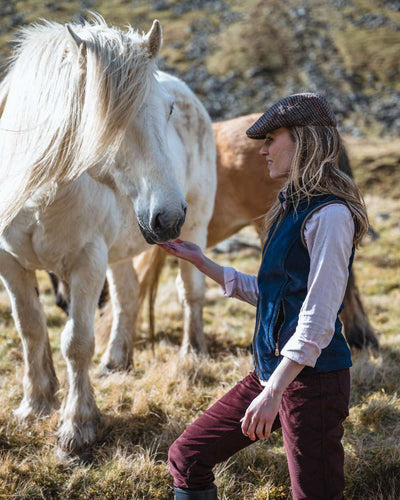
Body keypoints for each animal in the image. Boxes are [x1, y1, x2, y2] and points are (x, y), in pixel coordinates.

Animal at [0, 15, 216, 456]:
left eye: (168, 109)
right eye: (105, 120)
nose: (168, 216)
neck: (41, 193)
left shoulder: (87, 260)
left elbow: (76, 341)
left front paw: (77, 427)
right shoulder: (10, 263)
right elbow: (30, 328)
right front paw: (35, 404)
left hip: (196, 231)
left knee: (192, 294)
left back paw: (192, 355)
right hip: (120, 252)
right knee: (127, 297)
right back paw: (117, 361)